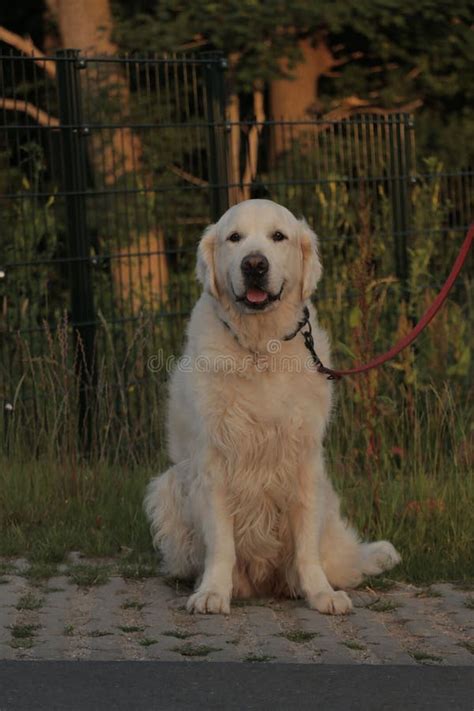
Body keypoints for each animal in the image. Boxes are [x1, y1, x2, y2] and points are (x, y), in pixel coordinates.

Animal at [145, 197, 400, 616]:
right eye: (234, 238)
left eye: (278, 236)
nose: (254, 265)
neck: (261, 350)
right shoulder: (213, 463)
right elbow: (221, 544)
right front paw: (213, 591)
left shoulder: (304, 462)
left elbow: (306, 546)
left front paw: (320, 593)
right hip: (168, 487)